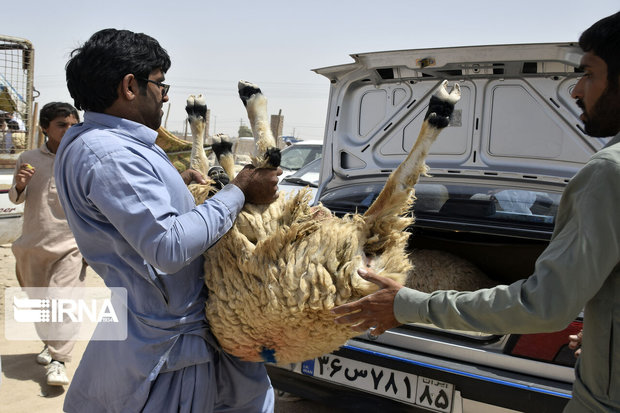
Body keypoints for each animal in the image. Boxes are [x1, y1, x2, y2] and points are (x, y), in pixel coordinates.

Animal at [180, 79, 464, 362]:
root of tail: (358, 280)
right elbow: (206, 165)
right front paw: (217, 147)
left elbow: (206, 164)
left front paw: (218, 149)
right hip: (285, 241)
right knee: (395, 187)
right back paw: (440, 109)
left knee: (267, 159)